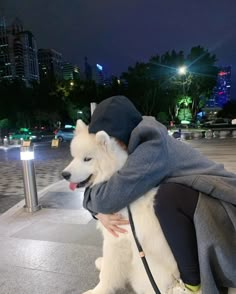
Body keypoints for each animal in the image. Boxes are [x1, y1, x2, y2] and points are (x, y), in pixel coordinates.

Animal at [61, 120, 198, 294]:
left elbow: (109, 272)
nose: (64, 174)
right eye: (74, 157)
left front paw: (98, 290)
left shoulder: (116, 241)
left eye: (87, 159)